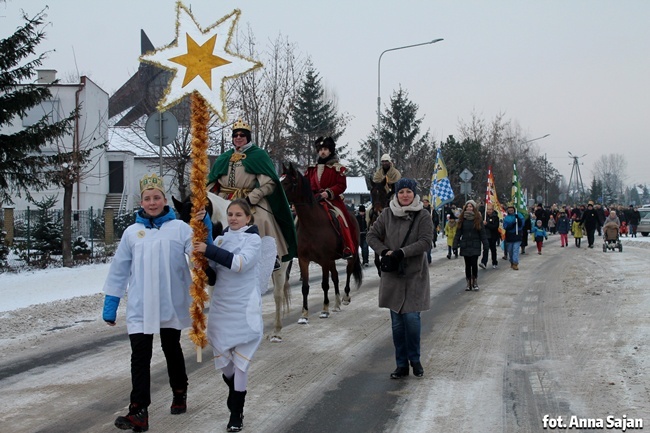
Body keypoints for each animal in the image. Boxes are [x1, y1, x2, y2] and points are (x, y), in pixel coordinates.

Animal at [278, 164, 362, 322]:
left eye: (286, 182)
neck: (312, 224)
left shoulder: (324, 259)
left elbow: (324, 284)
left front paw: (324, 310)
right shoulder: (304, 260)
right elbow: (305, 286)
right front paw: (304, 314)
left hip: (351, 254)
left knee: (348, 271)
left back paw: (345, 297)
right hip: (332, 259)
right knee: (335, 276)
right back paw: (336, 303)